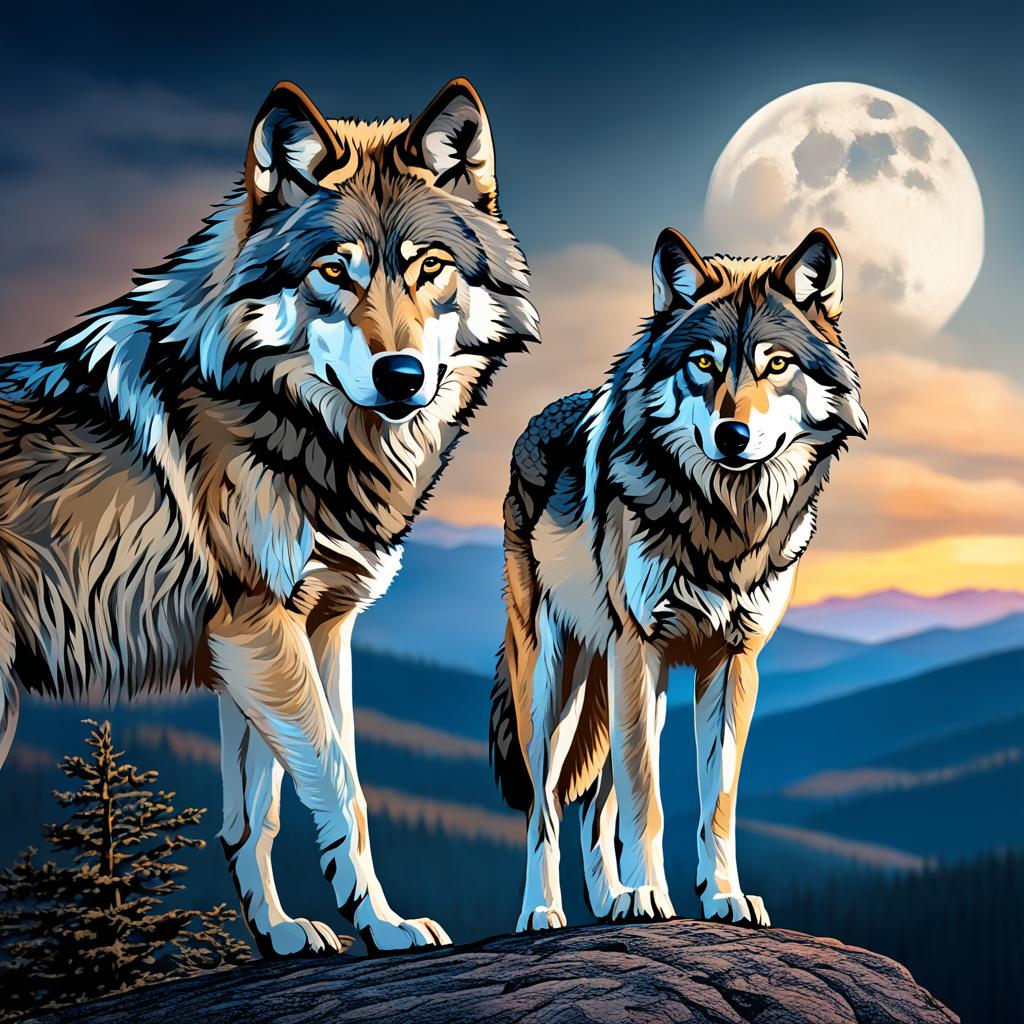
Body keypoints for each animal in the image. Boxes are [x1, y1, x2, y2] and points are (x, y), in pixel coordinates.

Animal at [0, 78, 538, 955]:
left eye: (429, 268)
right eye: (334, 272)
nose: (401, 375)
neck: (283, 416)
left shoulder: (303, 630)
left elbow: (257, 814)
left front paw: (282, 933)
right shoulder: (259, 630)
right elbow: (344, 791)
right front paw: (382, 926)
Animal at [490, 227, 865, 932]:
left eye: (777, 364)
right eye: (703, 364)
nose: (733, 433)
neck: (725, 523)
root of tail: (534, 418)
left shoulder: (732, 659)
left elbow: (715, 801)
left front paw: (724, 897)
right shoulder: (640, 647)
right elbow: (648, 798)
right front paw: (649, 896)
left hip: (630, 687)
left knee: (595, 804)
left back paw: (609, 900)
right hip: (558, 685)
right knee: (544, 802)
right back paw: (545, 910)